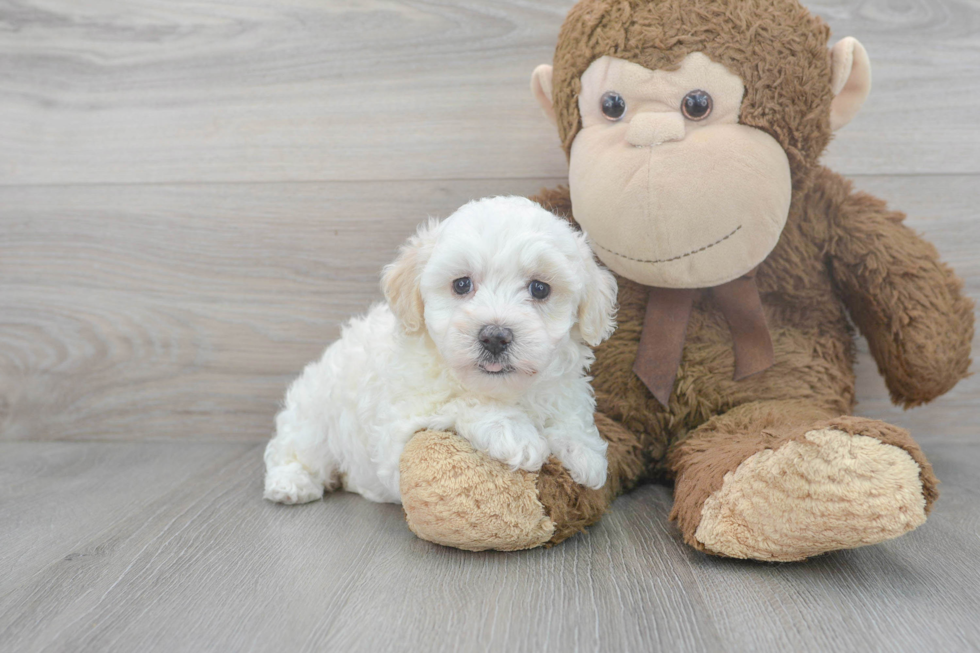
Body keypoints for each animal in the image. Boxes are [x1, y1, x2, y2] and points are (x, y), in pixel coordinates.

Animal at [264, 195, 616, 504]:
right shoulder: (397, 438)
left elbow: (569, 412)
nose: (494, 336)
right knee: (293, 449)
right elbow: (459, 403)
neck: (504, 390)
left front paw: (584, 450)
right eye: (461, 284)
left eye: (540, 289)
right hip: (313, 415)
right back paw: (291, 483)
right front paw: (514, 432)